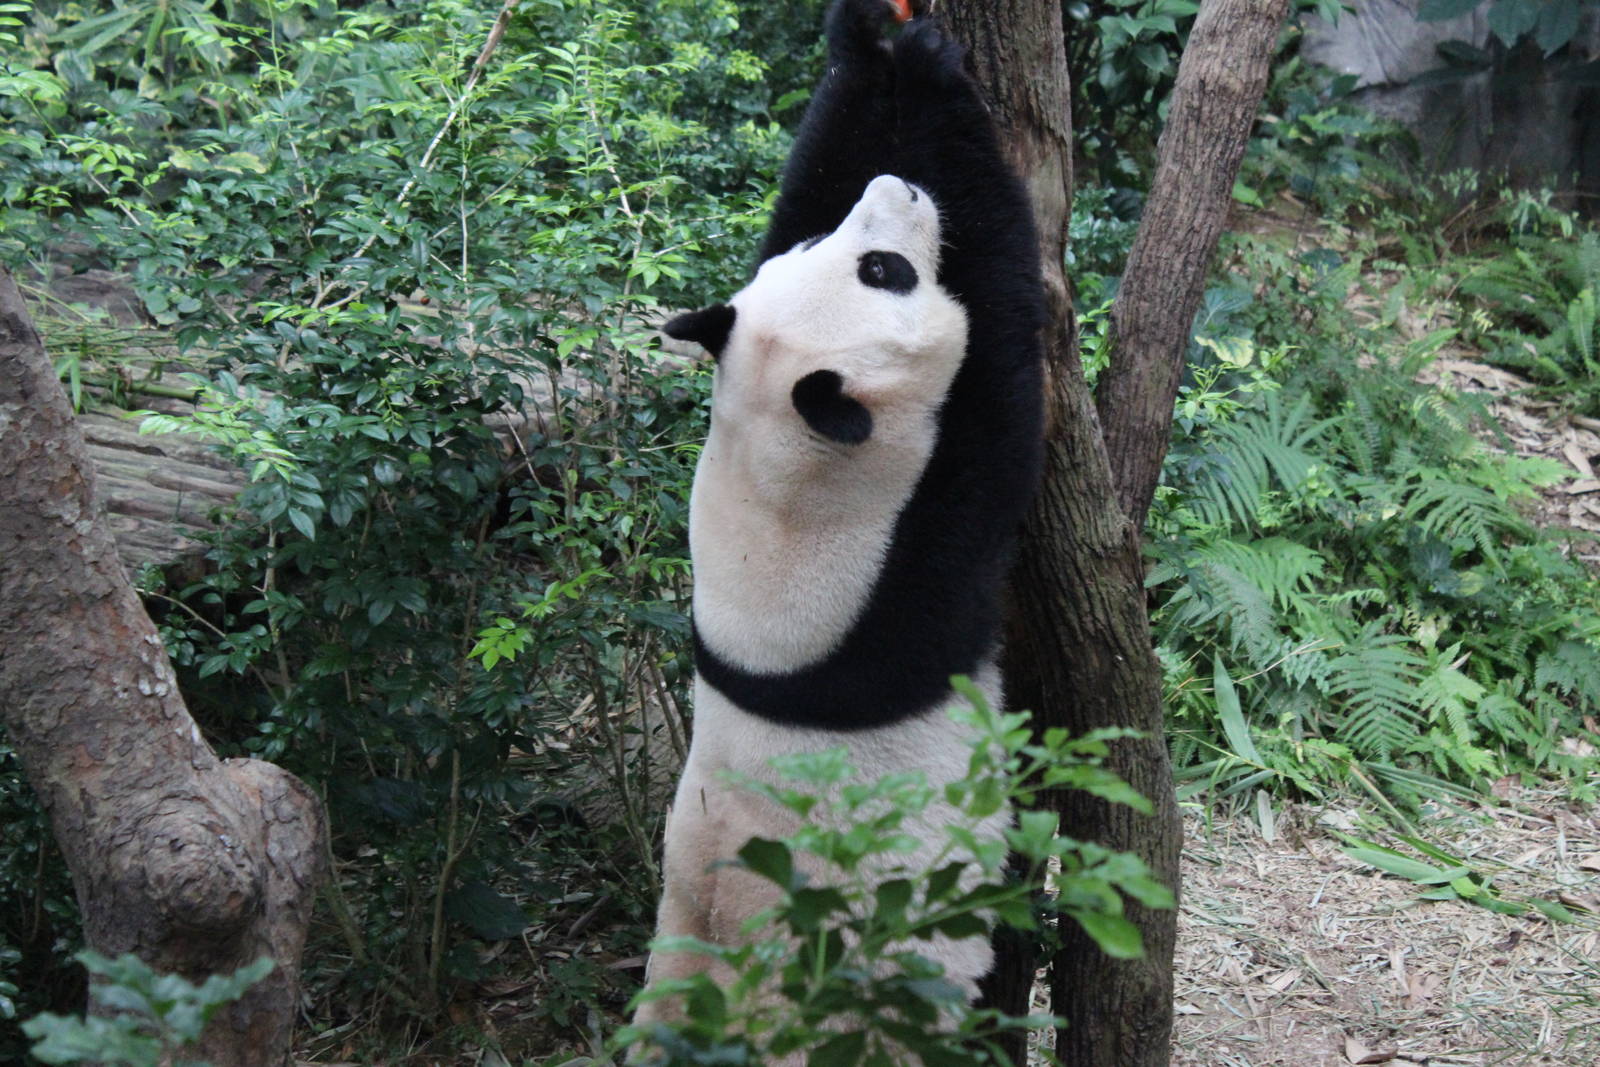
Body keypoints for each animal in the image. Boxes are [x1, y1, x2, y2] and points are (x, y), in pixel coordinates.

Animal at [636, 0, 1045, 1037]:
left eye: (832, 247)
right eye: (883, 268)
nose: (898, 187)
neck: (777, 481)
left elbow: (806, 174)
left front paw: (867, 46)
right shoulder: (906, 541)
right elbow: (1001, 336)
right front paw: (935, 75)